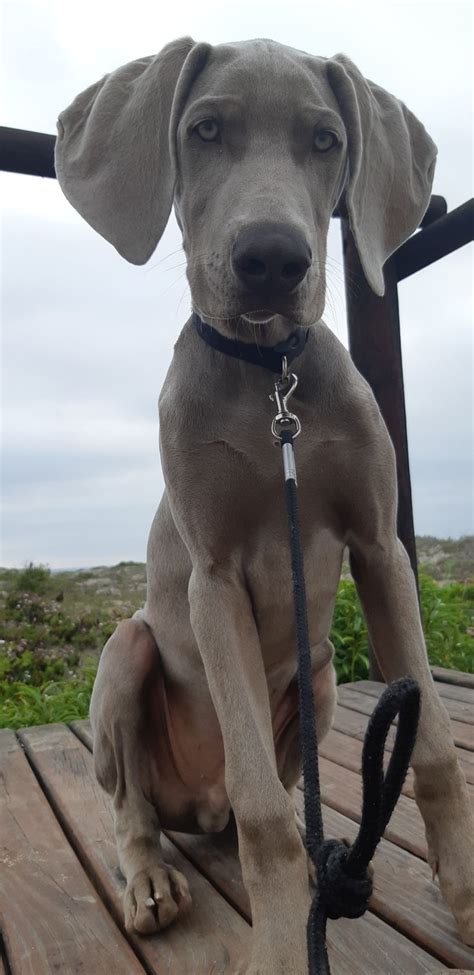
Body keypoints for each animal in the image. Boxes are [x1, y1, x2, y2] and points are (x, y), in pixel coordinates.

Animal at [56, 38, 474, 975]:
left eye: (326, 140)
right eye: (206, 130)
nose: (274, 259)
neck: (268, 376)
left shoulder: (381, 547)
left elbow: (431, 745)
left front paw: (468, 898)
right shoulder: (211, 581)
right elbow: (263, 811)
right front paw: (285, 949)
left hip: (315, 672)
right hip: (130, 649)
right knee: (140, 809)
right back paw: (149, 880)